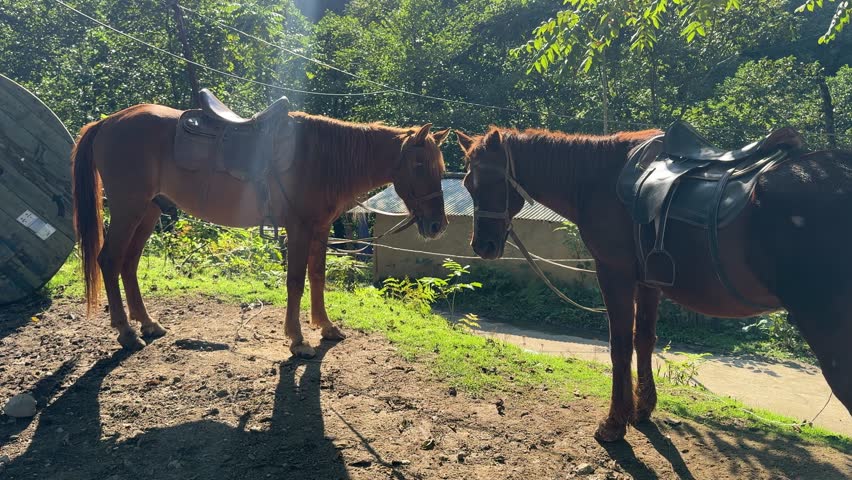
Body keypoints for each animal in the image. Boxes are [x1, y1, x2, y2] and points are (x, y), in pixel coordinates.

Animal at [71, 102, 450, 358]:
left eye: (441, 167)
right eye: (419, 165)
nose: (437, 226)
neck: (320, 157)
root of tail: (108, 121)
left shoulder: (320, 229)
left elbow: (317, 277)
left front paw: (325, 327)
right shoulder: (298, 229)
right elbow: (295, 281)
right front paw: (297, 340)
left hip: (148, 211)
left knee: (129, 263)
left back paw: (147, 323)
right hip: (129, 209)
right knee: (110, 260)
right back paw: (126, 332)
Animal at [456, 126, 852, 442]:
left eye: (485, 182)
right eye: (466, 184)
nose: (482, 246)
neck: (597, 178)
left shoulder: (614, 273)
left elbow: (619, 345)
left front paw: (614, 424)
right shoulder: (648, 282)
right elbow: (644, 340)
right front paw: (642, 409)